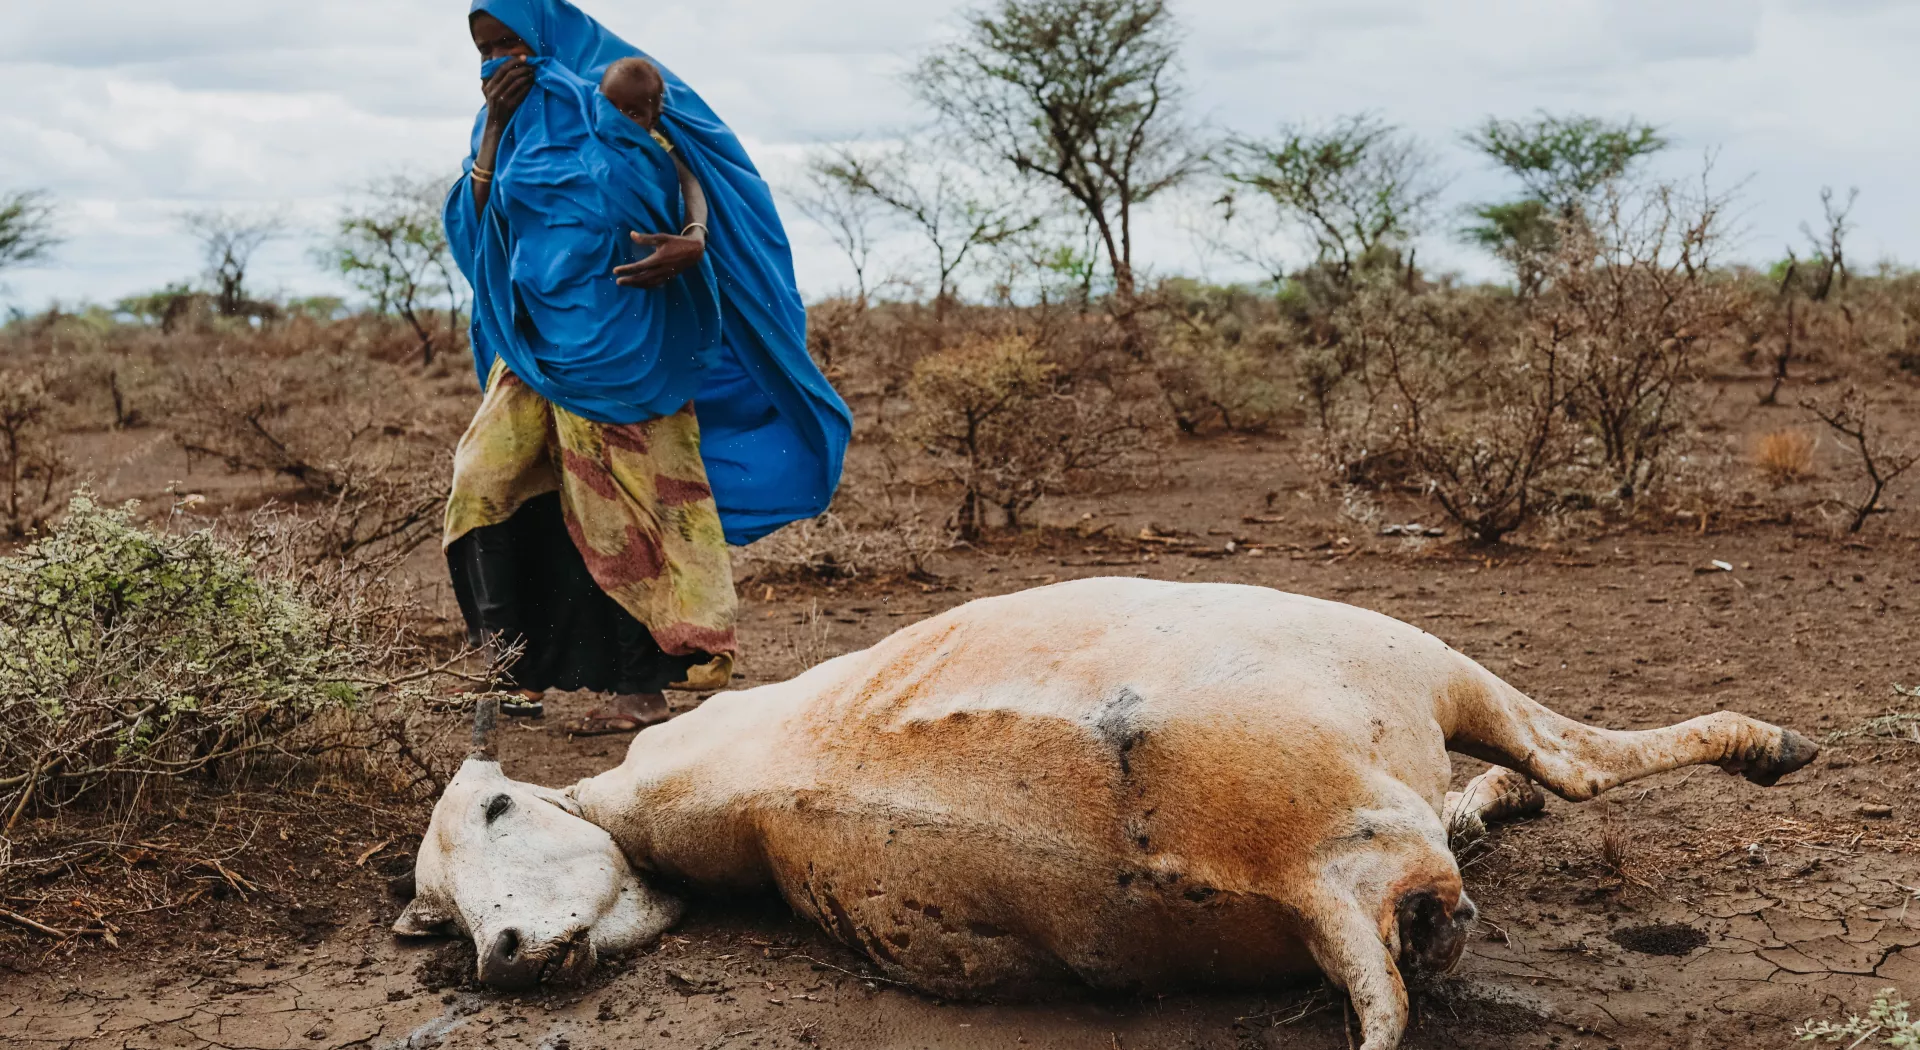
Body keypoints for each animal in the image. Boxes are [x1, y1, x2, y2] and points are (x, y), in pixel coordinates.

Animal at [397, 578, 1818, 1050]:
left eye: (501, 807)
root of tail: (1295, 869)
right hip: (1426, 675)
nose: (498, 956)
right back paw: (1768, 746)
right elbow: (1531, 784)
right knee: (1573, 766)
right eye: (444, 912)